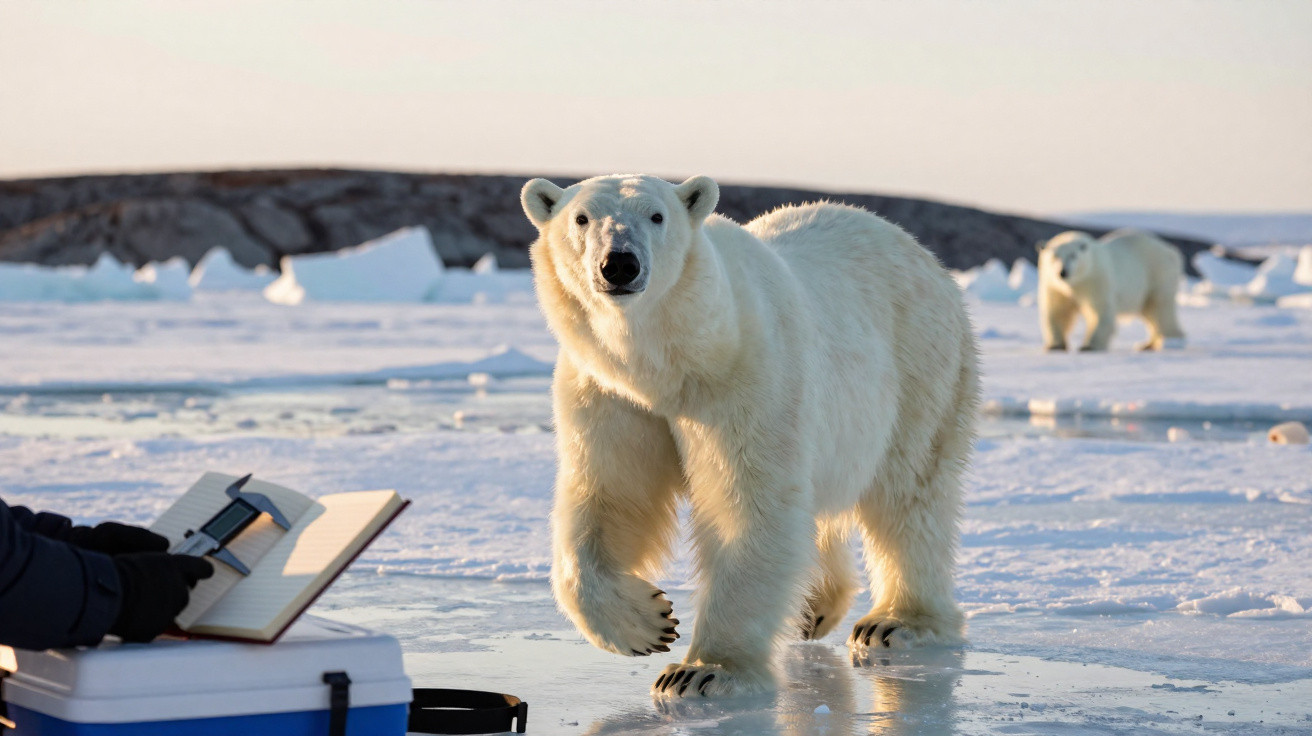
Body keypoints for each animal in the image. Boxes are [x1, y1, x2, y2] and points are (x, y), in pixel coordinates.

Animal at [521, 174, 979, 699]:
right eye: (581, 218)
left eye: (657, 215)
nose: (619, 264)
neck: (669, 366)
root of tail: (922, 254)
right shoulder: (610, 395)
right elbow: (610, 495)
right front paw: (646, 624)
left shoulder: (744, 378)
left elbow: (746, 504)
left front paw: (702, 671)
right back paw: (814, 606)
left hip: (923, 365)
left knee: (909, 492)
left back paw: (897, 621)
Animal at [1037, 229, 1186, 352]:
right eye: (1055, 256)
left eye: (1073, 255)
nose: (1063, 272)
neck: (1076, 283)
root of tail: (1171, 250)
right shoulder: (1054, 286)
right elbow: (1058, 311)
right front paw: (1055, 345)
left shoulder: (1095, 279)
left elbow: (1100, 311)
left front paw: (1089, 346)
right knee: (1149, 311)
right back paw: (1147, 345)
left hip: (1158, 273)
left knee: (1160, 309)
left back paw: (1170, 340)